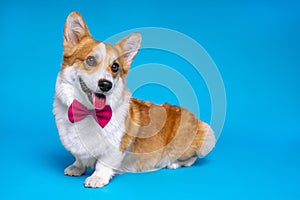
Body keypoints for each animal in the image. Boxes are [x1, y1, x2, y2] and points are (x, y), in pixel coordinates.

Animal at [53, 11, 216, 188]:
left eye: (115, 67)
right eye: (90, 60)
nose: (106, 85)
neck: (89, 112)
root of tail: (195, 117)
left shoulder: (115, 148)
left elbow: (103, 163)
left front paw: (97, 177)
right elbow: (79, 157)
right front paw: (76, 167)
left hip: (198, 140)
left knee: (191, 158)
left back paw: (172, 163)